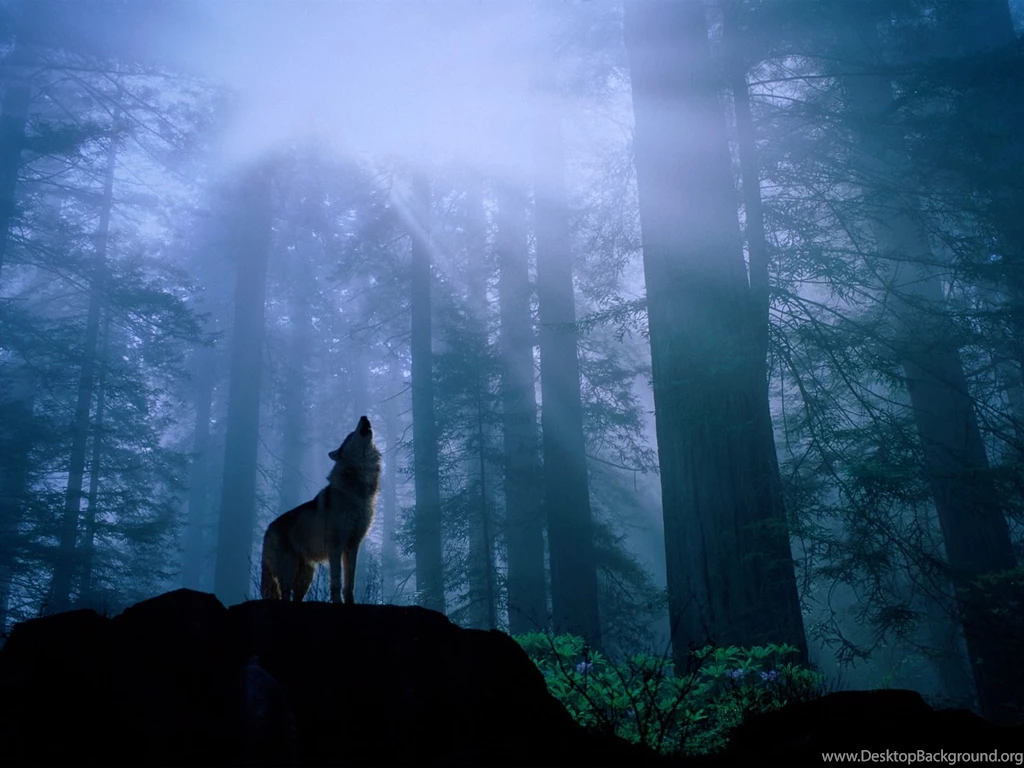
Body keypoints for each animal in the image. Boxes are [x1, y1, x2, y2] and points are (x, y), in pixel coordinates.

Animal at [260, 415, 382, 604]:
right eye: (350, 434)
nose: (364, 417)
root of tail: (268, 529)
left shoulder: (353, 545)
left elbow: (350, 583)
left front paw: (350, 603)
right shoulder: (335, 547)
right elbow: (336, 581)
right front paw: (338, 602)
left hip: (306, 578)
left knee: (296, 598)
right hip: (287, 574)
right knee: (285, 595)